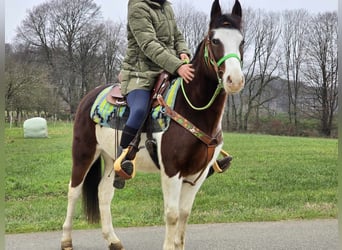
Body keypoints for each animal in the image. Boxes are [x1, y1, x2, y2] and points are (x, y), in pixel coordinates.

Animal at [60, 0, 243, 250]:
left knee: (103, 193)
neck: (191, 109)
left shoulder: (199, 172)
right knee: (74, 191)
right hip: (83, 152)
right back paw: (66, 240)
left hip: (110, 157)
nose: (235, 80)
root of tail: (89, 96)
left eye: (241, 41)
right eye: (215, 40)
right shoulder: (172, 171)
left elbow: (184, 214)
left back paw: (113, 239)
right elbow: (172, 215)